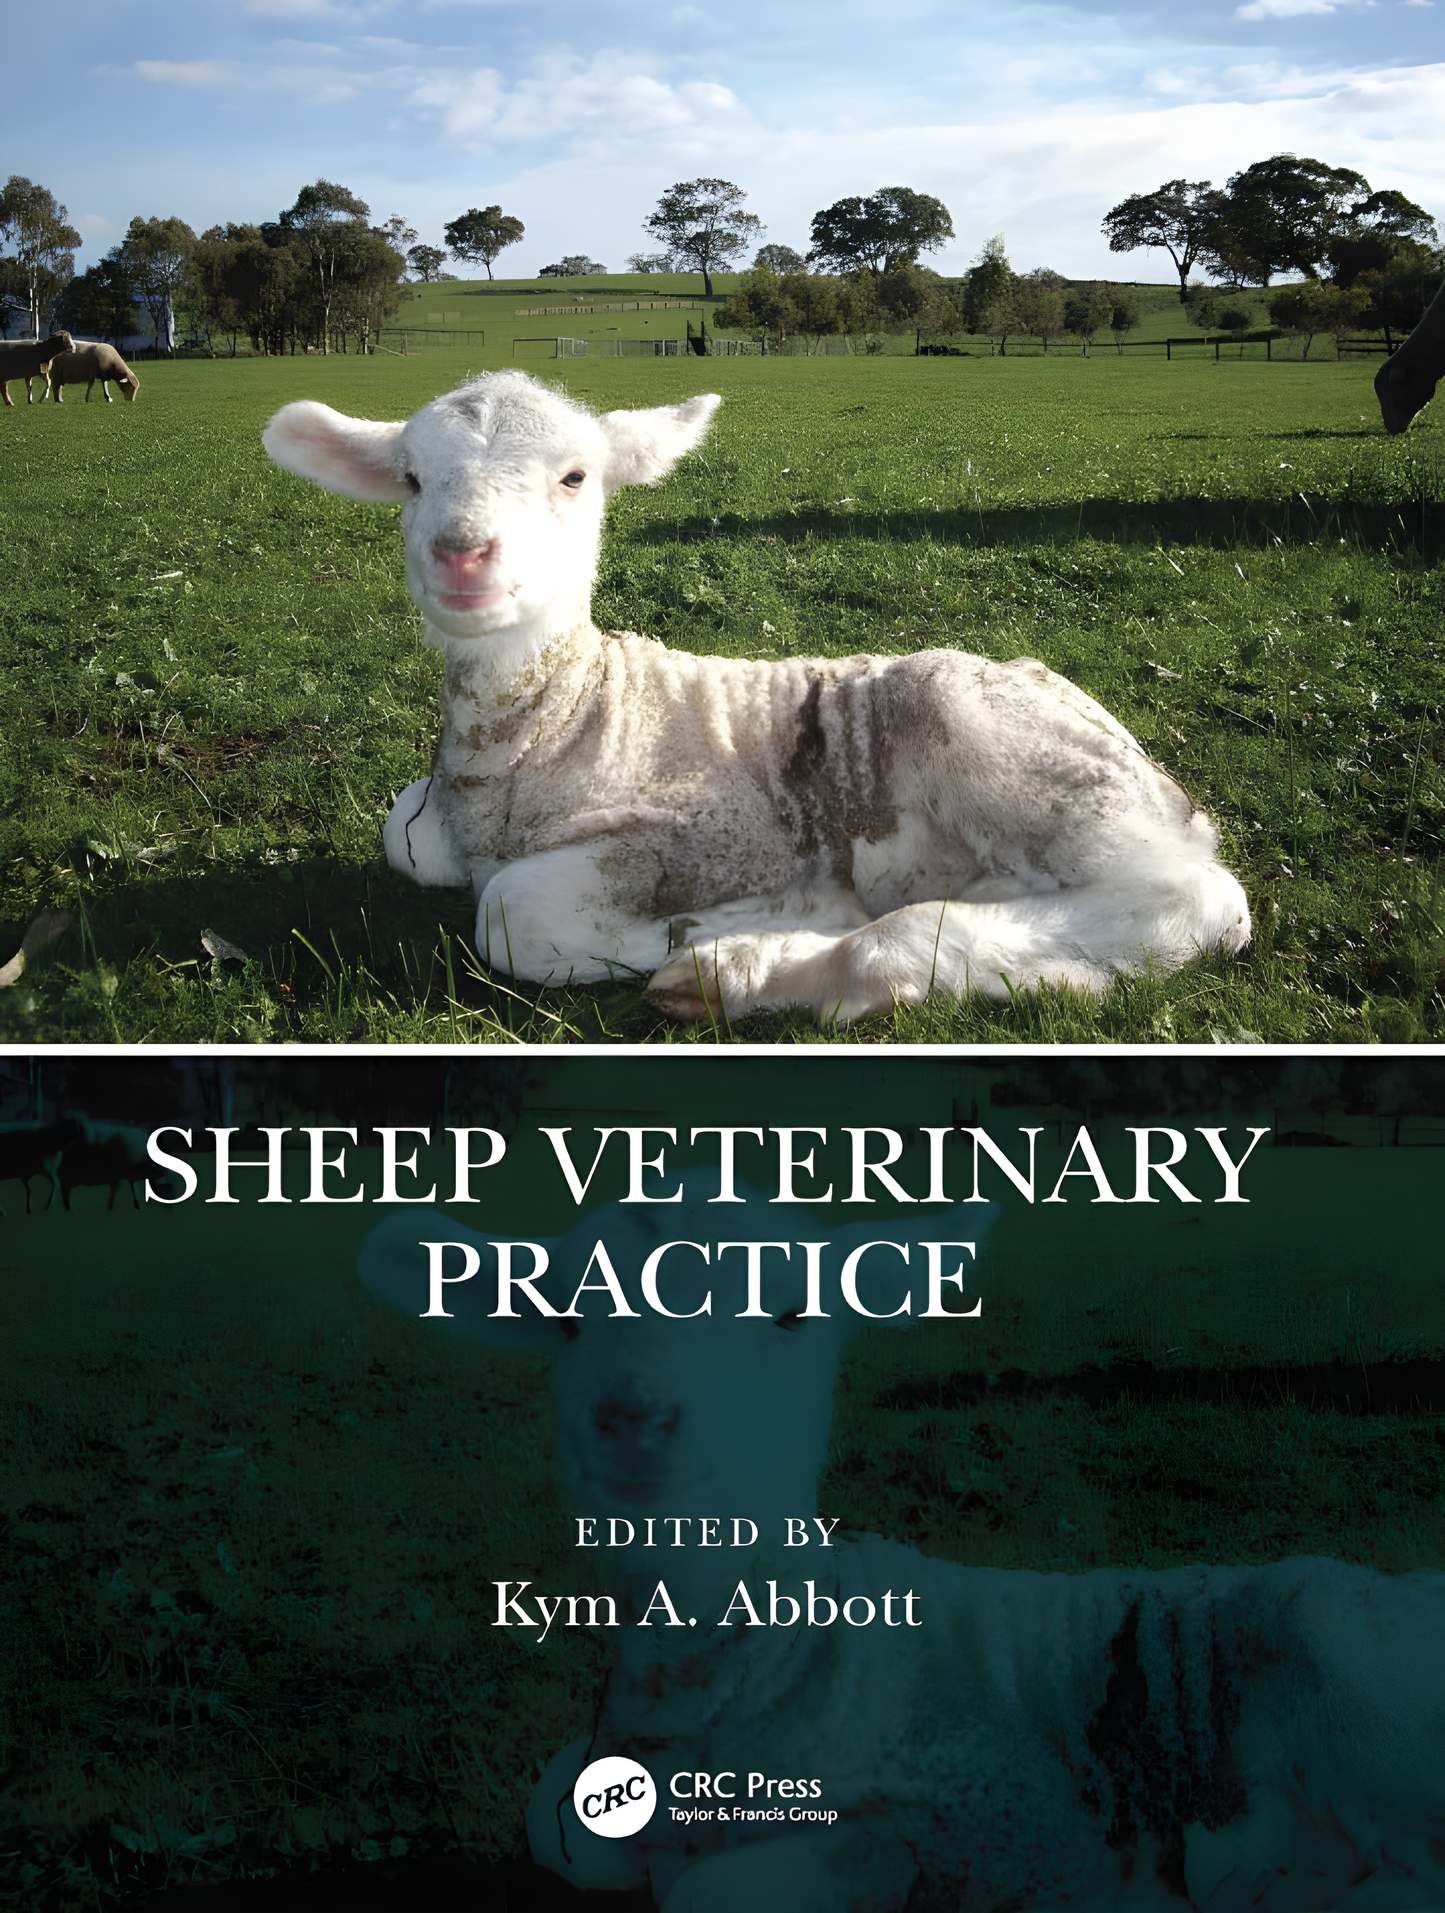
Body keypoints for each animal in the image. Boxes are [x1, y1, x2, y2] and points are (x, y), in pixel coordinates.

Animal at [263, 373, 1249, 1025]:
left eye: (575, 477)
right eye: (411, 478)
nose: (461, 554)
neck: (556, 724)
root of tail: (1159, 783)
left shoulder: (701, 833)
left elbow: (510, 913)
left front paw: (690, 932)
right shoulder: (424, 822)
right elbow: (406, 840)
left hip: (1005, 744)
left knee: (1191, 901)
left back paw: (753, 963)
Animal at [359, 1196, 1445, 1913]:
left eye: (792, 1310)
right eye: (563, 1316)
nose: (634, 1420)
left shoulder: (952, 1826)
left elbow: (718, 1886)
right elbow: (560, 1823)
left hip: (1351, 1667)